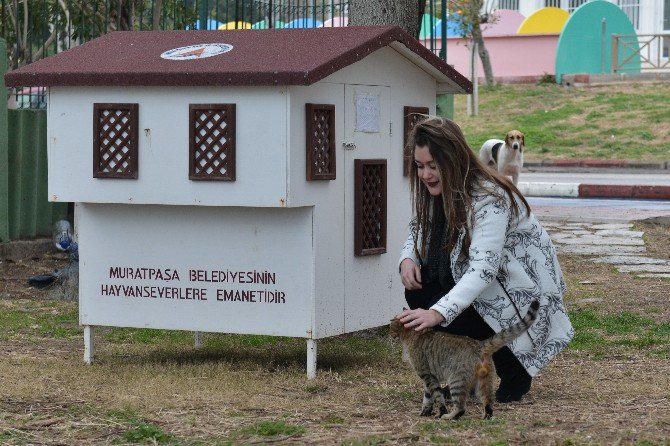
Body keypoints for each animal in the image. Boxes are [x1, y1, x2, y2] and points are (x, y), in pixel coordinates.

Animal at [394, 302, 540, 420]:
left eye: (391, 324)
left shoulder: (427, 375)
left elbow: (437, 397)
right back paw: (486, 416)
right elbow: (428, 396)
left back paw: (450, 416)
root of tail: (480, 345)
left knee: (461, 408)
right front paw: (426, 411)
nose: (390, 328)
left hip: (456, 381)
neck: (417, 334)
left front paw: (440, 413)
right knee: (488, 402)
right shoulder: (429, 378)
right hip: (484, 382)